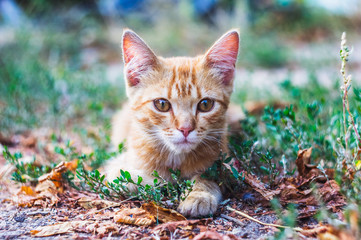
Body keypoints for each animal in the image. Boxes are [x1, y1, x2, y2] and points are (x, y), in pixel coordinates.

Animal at [104, 28, 239, 218]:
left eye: (205, 104)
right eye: (162, 104)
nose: (185, 129)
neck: (176, 159)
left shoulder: (225, 162)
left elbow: (209, 176)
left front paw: (199, 194)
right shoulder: (118, 164)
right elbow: (123, 177)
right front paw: (160, 181)